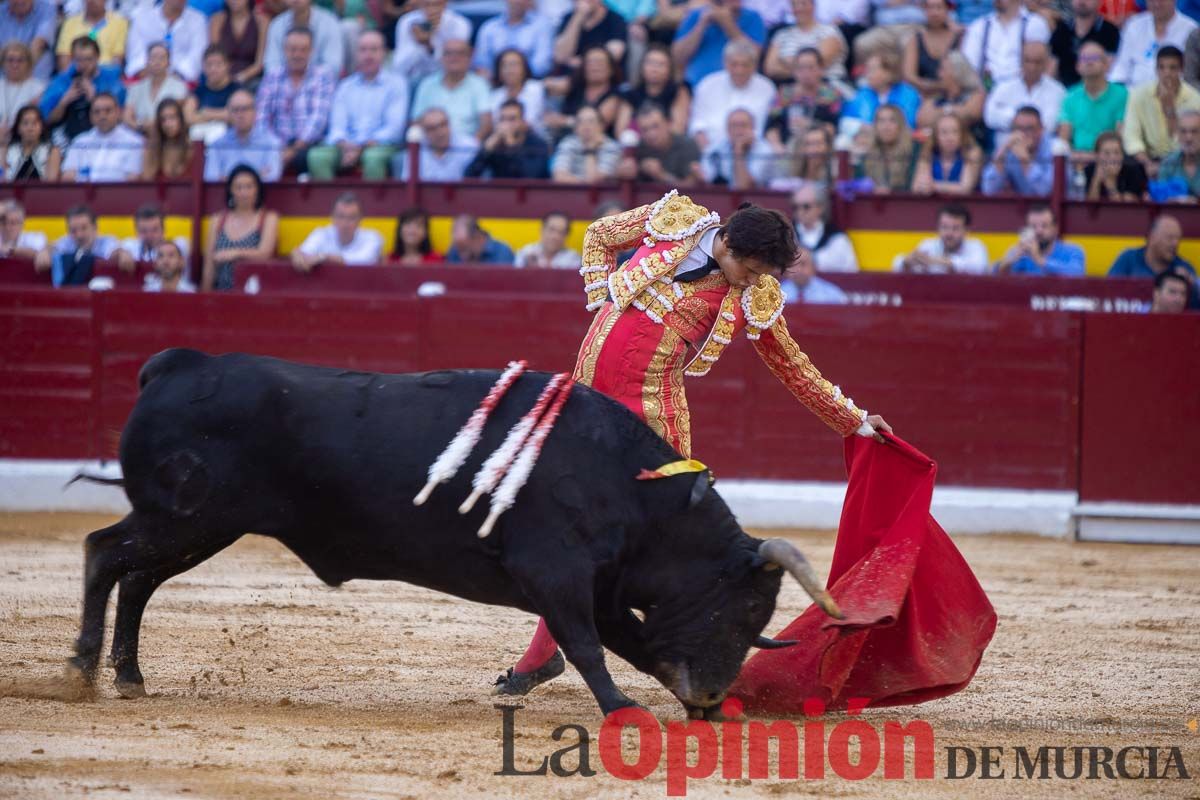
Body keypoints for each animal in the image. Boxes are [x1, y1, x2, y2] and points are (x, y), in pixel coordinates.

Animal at [63, 350, 835, 719]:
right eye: (744, 606)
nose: (709, 693)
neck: (629, 486)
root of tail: (178, 364)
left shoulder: (602, 589)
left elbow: (634, 645)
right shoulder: (558, 575)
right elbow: (590, 646)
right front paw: (622, 710)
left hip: (196, 527)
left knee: (137, 577)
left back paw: (128, 677)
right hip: (185, 519)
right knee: (106, 554)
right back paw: (81, 671)